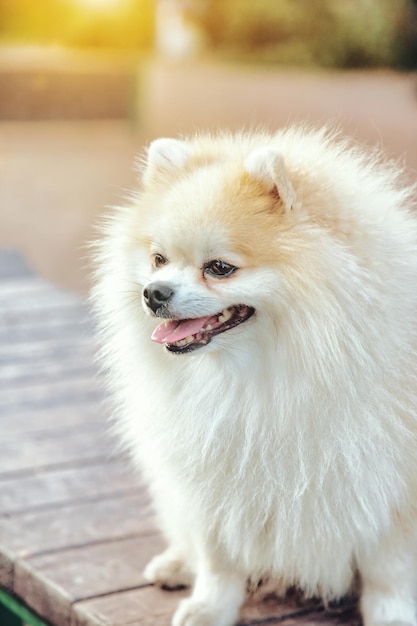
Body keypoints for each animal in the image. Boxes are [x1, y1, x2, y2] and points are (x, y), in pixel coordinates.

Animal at [92, 127, 416, 624]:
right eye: (159, 259)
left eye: (220, 268)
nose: (153, 292)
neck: (259, 376)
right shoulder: (217, 476)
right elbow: (218, 558)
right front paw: (209, 607)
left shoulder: (391, 488)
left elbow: (390, 572)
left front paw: (393, 616)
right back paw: (176, 564)